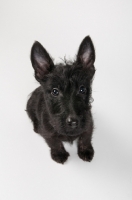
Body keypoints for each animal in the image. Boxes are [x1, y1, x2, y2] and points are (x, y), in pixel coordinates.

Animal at [26, 36, 95, 164]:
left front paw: (85, 150)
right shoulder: (47, 131)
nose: (73, 122)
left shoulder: (89, 122)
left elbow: (85, 137)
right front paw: (59, 154)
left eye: (82, 89)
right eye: (55, 91)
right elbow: (54, 141)